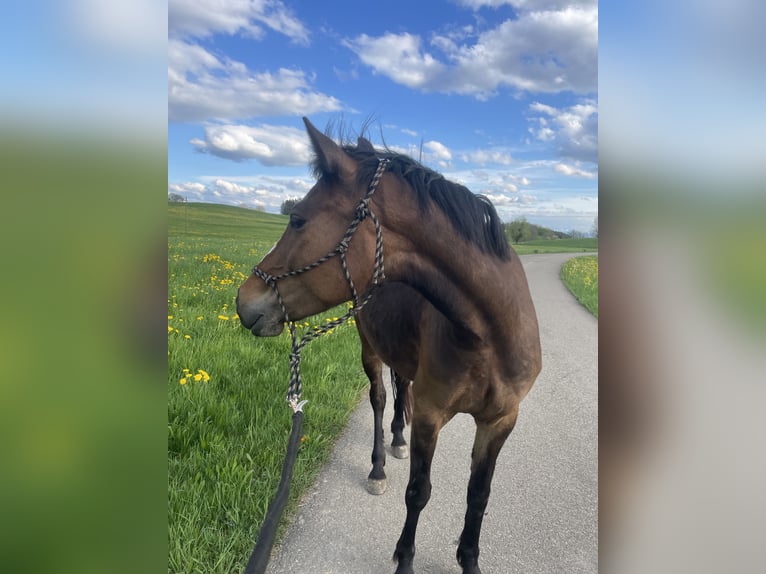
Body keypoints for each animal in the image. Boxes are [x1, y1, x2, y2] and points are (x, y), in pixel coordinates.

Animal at [236, 118, 542, 574]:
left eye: (298, 219)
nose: (243, 302)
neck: (488, 337)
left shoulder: (500, 421)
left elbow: (478, 496)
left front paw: (469, 561)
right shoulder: (432, 416)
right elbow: (418, 491)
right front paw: (404, 560)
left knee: (400, 389)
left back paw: (397, 438)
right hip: (370, 349)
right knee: (381, 397)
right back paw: (379, 465)